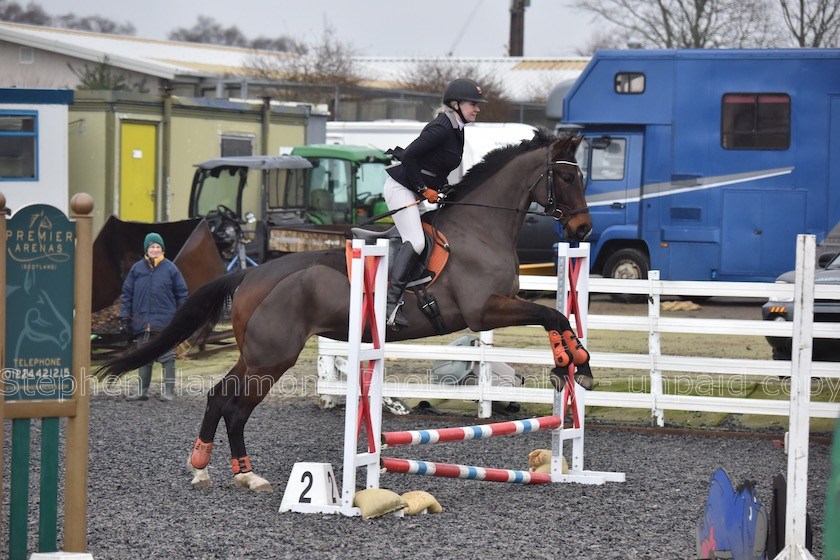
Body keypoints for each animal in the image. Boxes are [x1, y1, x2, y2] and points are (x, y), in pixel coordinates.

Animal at [98, 129, 592, 492]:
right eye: (568, 179)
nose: (584, 229)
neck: (481, 228)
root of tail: (250, 276)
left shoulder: (497, 309)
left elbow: (559, 317)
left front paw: (574, 366)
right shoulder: (484, 311)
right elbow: (553, 316)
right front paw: (574, 364)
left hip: (257, 354)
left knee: (221, 397)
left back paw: (210, 467)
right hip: (272, 356)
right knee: (235, 406)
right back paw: (243, 473)